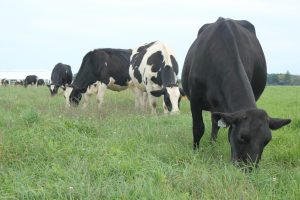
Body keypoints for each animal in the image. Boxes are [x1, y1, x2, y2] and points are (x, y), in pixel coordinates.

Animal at [180, 17, 290, 168]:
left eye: (266, 141)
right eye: (242, 137)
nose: (249, 168)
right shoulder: (195, 98)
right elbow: (198, 127)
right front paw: (195, 152)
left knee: (215, 123)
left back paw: (213, 144)